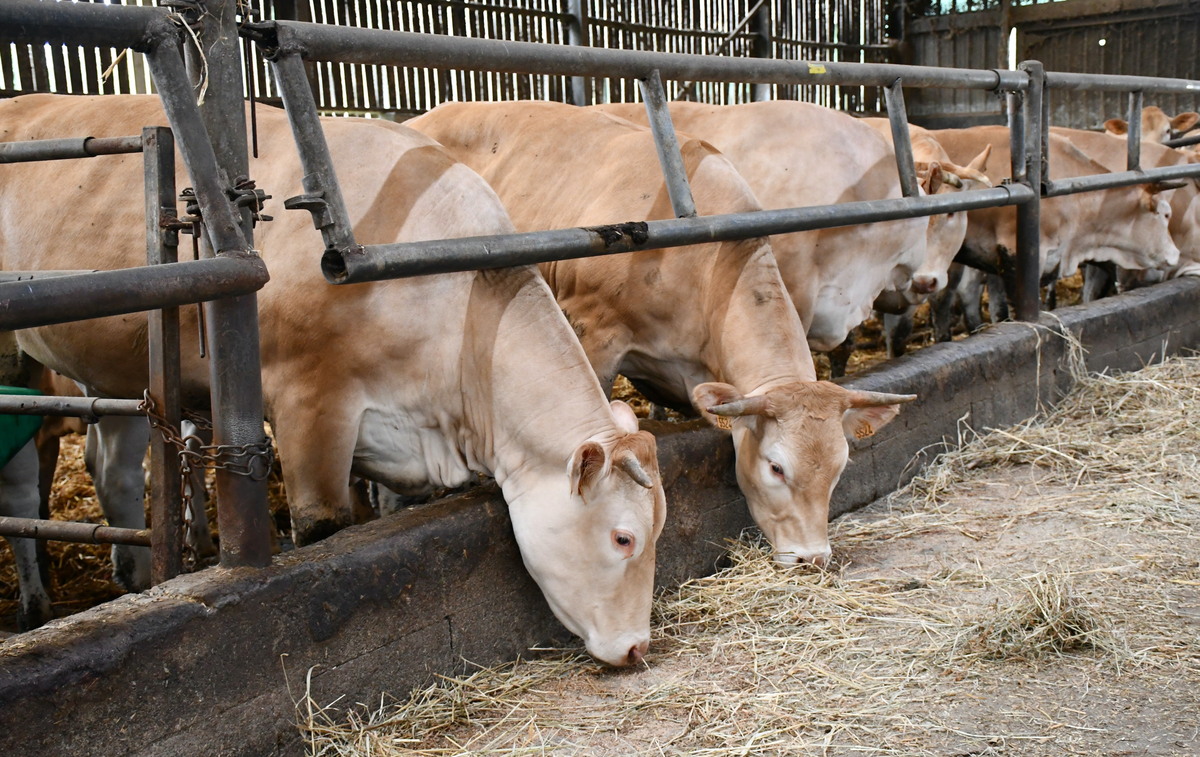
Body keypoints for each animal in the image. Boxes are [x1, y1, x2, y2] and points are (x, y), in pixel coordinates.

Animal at [0, 94, 664, 666]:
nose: (637, 647)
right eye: (623, 538)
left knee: (112, 467)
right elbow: (324, 524)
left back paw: (135, 578)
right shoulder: (309, 403)